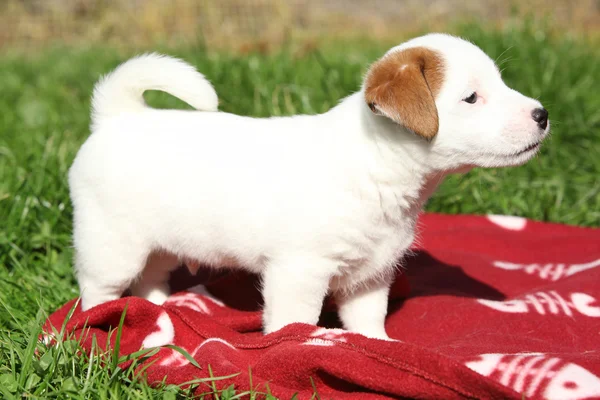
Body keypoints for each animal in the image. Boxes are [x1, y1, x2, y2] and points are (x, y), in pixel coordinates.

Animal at [69, 35, 548, 340]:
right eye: (472, 98)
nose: (542, 114)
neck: (376, 165)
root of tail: (119, 116)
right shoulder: (299, 271)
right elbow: (296, 322)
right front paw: (298, 348)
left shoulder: (370, 274)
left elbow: (367, 321)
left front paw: (378, 345)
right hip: (113, 246)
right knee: (98, 288)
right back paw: (99, 324)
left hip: (162, 243)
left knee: (150, 278)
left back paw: (161, 311)